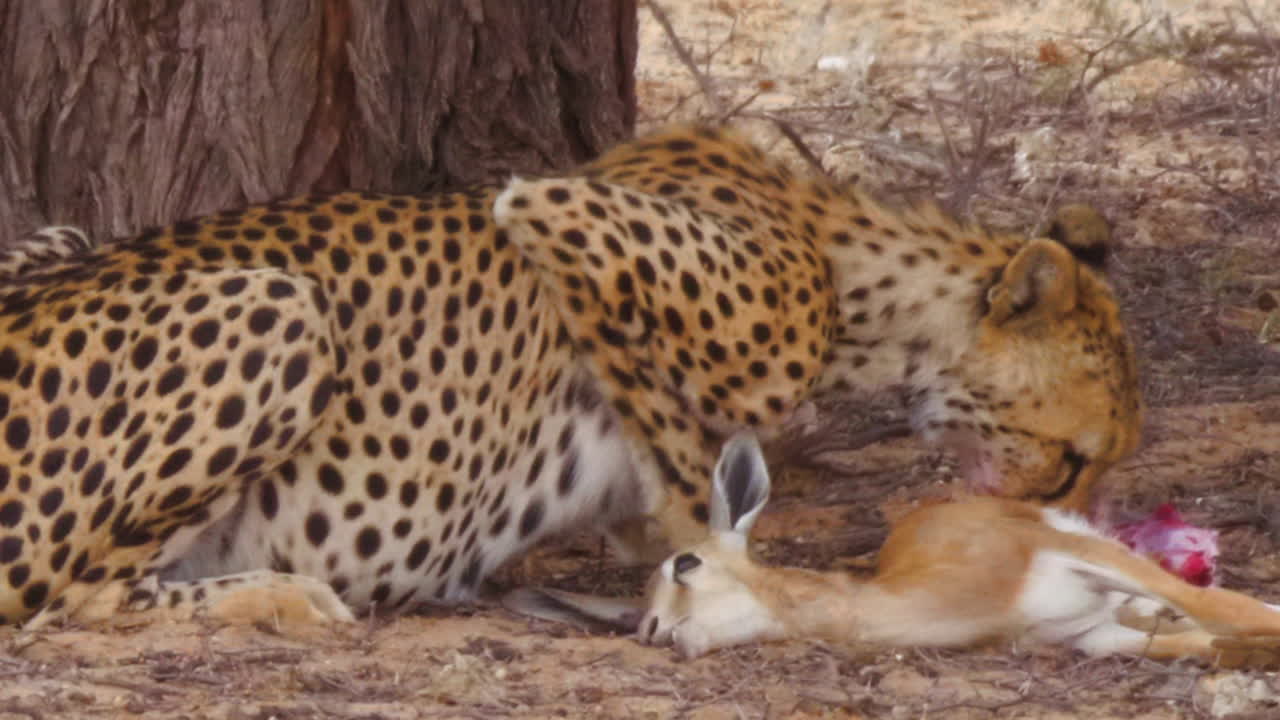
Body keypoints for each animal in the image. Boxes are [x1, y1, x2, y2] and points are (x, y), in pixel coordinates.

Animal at [0, 124, 1141, 628]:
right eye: (1072, 462)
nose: (1080, 521)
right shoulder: (552, 206)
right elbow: (675, 445)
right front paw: (714, 540)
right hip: (281, 305)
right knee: (65, 601)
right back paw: (287, 596)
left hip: (61, 237)